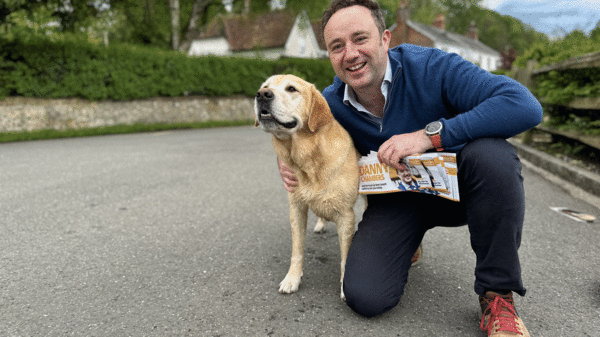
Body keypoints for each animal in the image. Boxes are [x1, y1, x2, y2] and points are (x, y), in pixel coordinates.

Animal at [254, 74, 358, 300]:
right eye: (265, 86)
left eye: (292, 89)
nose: (262, 95)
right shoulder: (297, 208)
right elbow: (297, 250)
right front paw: (292, 278)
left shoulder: (346, 215)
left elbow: (346, 256)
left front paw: (345, 287)